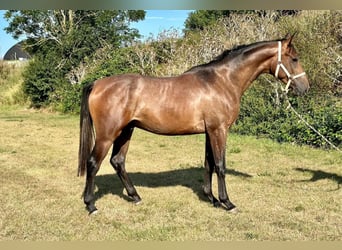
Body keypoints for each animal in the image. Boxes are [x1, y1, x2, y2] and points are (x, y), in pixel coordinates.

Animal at [78, 33, 310, 215]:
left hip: (126, 131)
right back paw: (91, 205)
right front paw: (227, 203)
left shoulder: (210, 131)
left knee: (118, 161)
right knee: (93, 163)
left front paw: (212, 199)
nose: (305, 88)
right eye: (295, 58)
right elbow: (220, 165)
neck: (223, 80)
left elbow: (209, 164)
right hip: (108, 134)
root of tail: (97, 84)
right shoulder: (219, 130)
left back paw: (135, 197)